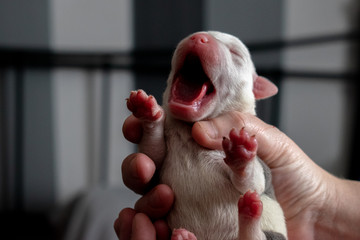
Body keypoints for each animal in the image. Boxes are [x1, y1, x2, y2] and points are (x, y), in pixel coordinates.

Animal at [126, 31, 286, 240]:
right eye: (194, 35)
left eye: (236, 54)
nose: (199, 37)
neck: (189, 130)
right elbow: (152, 155)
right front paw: (147, 111)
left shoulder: (258, 164)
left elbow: (253, 182)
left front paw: (241, 156)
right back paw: (185, 237)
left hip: (274, 233)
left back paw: (249, 215)